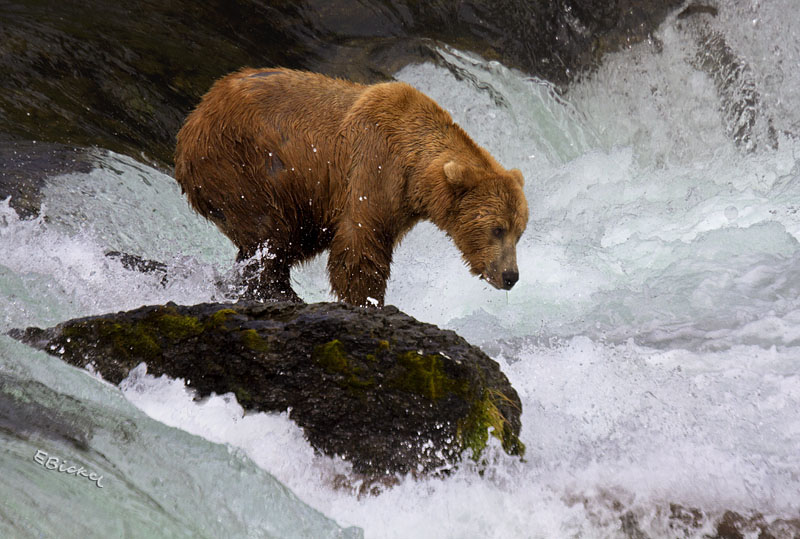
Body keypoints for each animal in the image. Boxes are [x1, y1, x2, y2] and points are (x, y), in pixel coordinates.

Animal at [173, 66, 528, 308]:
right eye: (497, 229)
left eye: (519, 232)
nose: (510, 276)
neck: (414, 170)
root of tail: (197, 114)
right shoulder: (374, 166)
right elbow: (360, 246)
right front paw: (368, 301)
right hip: (240, 164)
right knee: (270, 233)